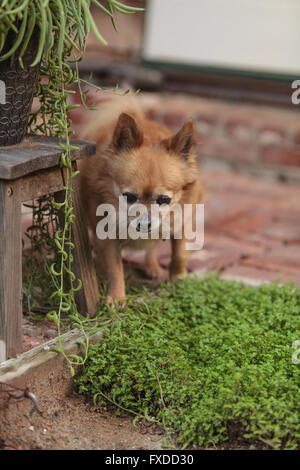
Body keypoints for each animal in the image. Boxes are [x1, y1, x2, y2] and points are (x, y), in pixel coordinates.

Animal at [78, 97, 203, 306]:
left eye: (164, 200)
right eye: (129, 197)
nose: (145, 224)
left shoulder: (181, 224)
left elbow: (179, 254)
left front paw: (179, 279)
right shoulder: (107, 235)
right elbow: (115, 267)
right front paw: (117, 297)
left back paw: (152, 267)